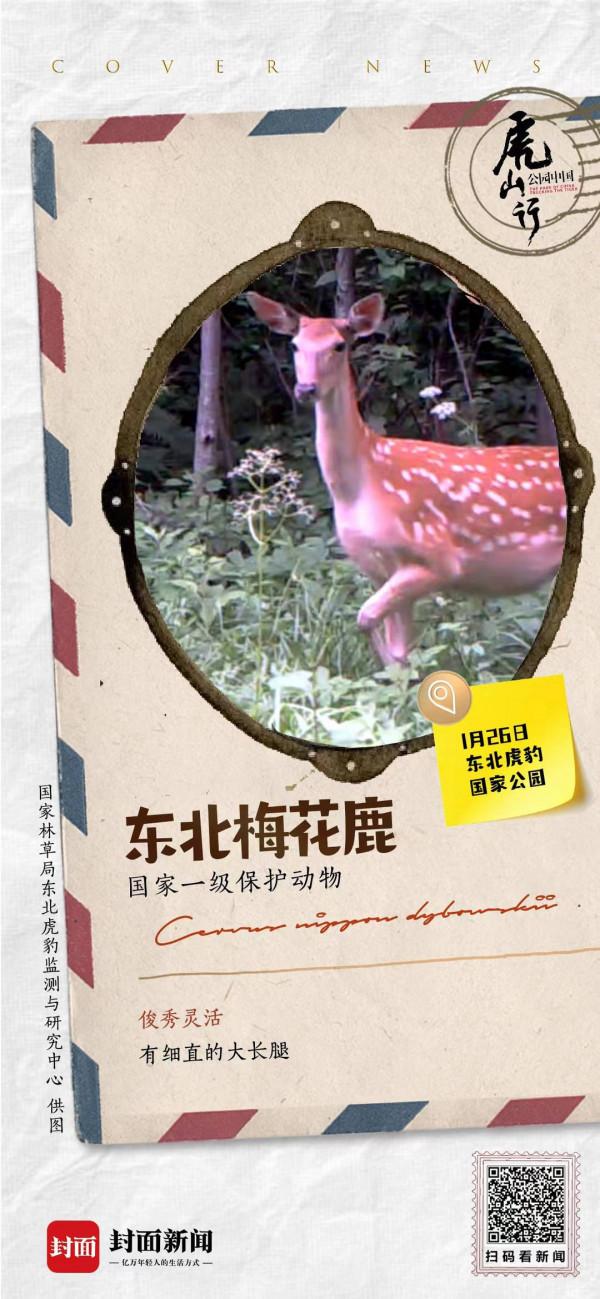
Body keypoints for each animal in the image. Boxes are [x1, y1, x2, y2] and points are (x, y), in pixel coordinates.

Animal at [246, 290, 567, 665]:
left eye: (339, 345)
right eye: (295, 344)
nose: (306, 388)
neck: (362, 484)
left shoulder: (438, 559)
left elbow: (366, 619)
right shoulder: (378, 569)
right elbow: (397, 648)